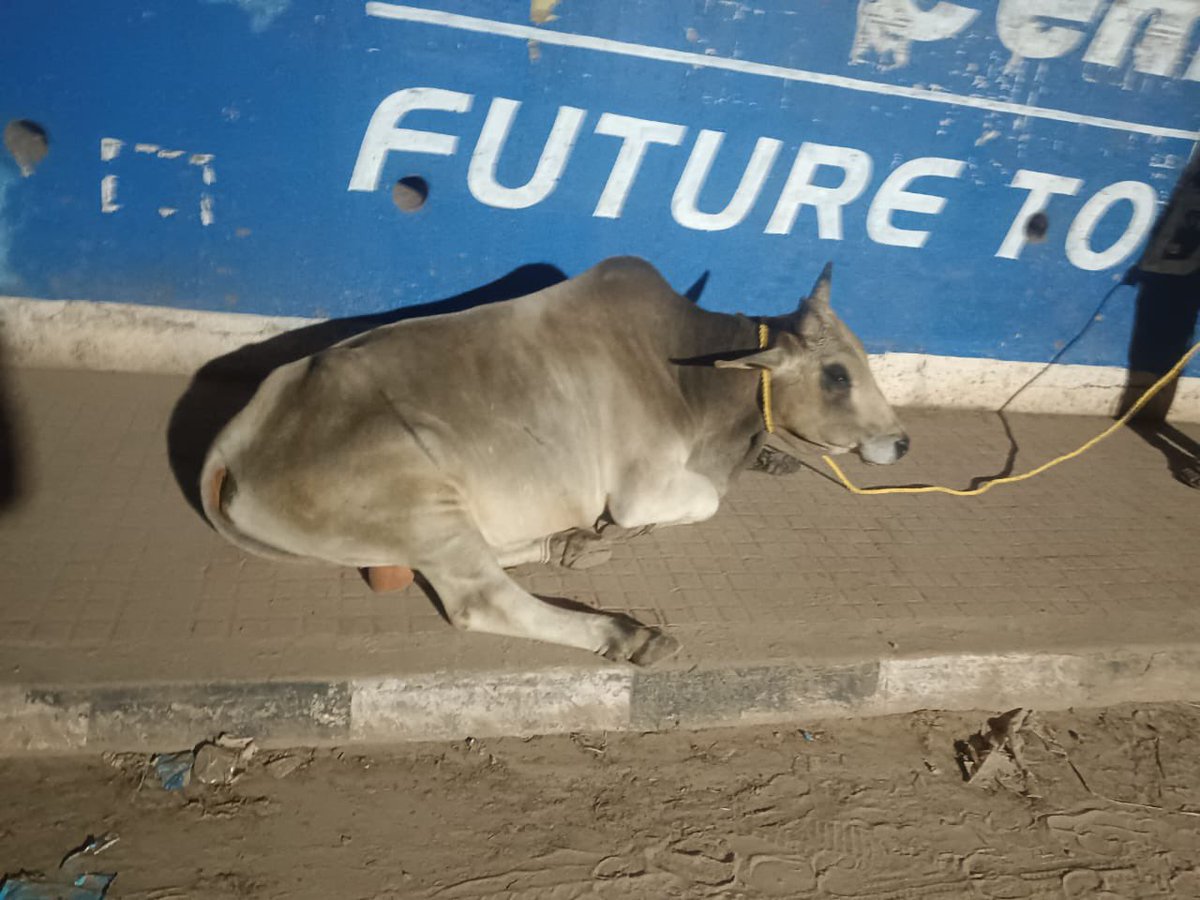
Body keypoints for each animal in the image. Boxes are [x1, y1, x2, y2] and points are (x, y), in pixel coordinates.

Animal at [200, 257, 907, 665]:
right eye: (837, 374)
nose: (902, 442)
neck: (695, 377)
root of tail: (235, 441)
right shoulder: (644, 486)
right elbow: (704, 500)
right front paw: (620, 530)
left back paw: (569, 544)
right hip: (421, 499)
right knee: (482, 599)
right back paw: (626, 632)